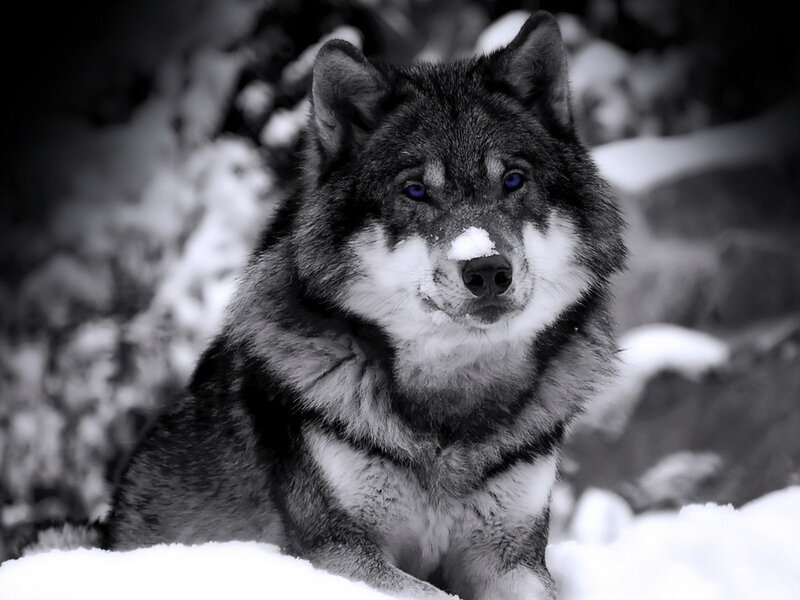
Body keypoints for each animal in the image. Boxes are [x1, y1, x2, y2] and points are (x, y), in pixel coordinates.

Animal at [35, 12, 626, 600]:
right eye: (415, 191)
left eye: (514, 181)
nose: (486, 270)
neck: (450, 408)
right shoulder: (337, 551)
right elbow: (431, 593)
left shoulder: (511, 557)